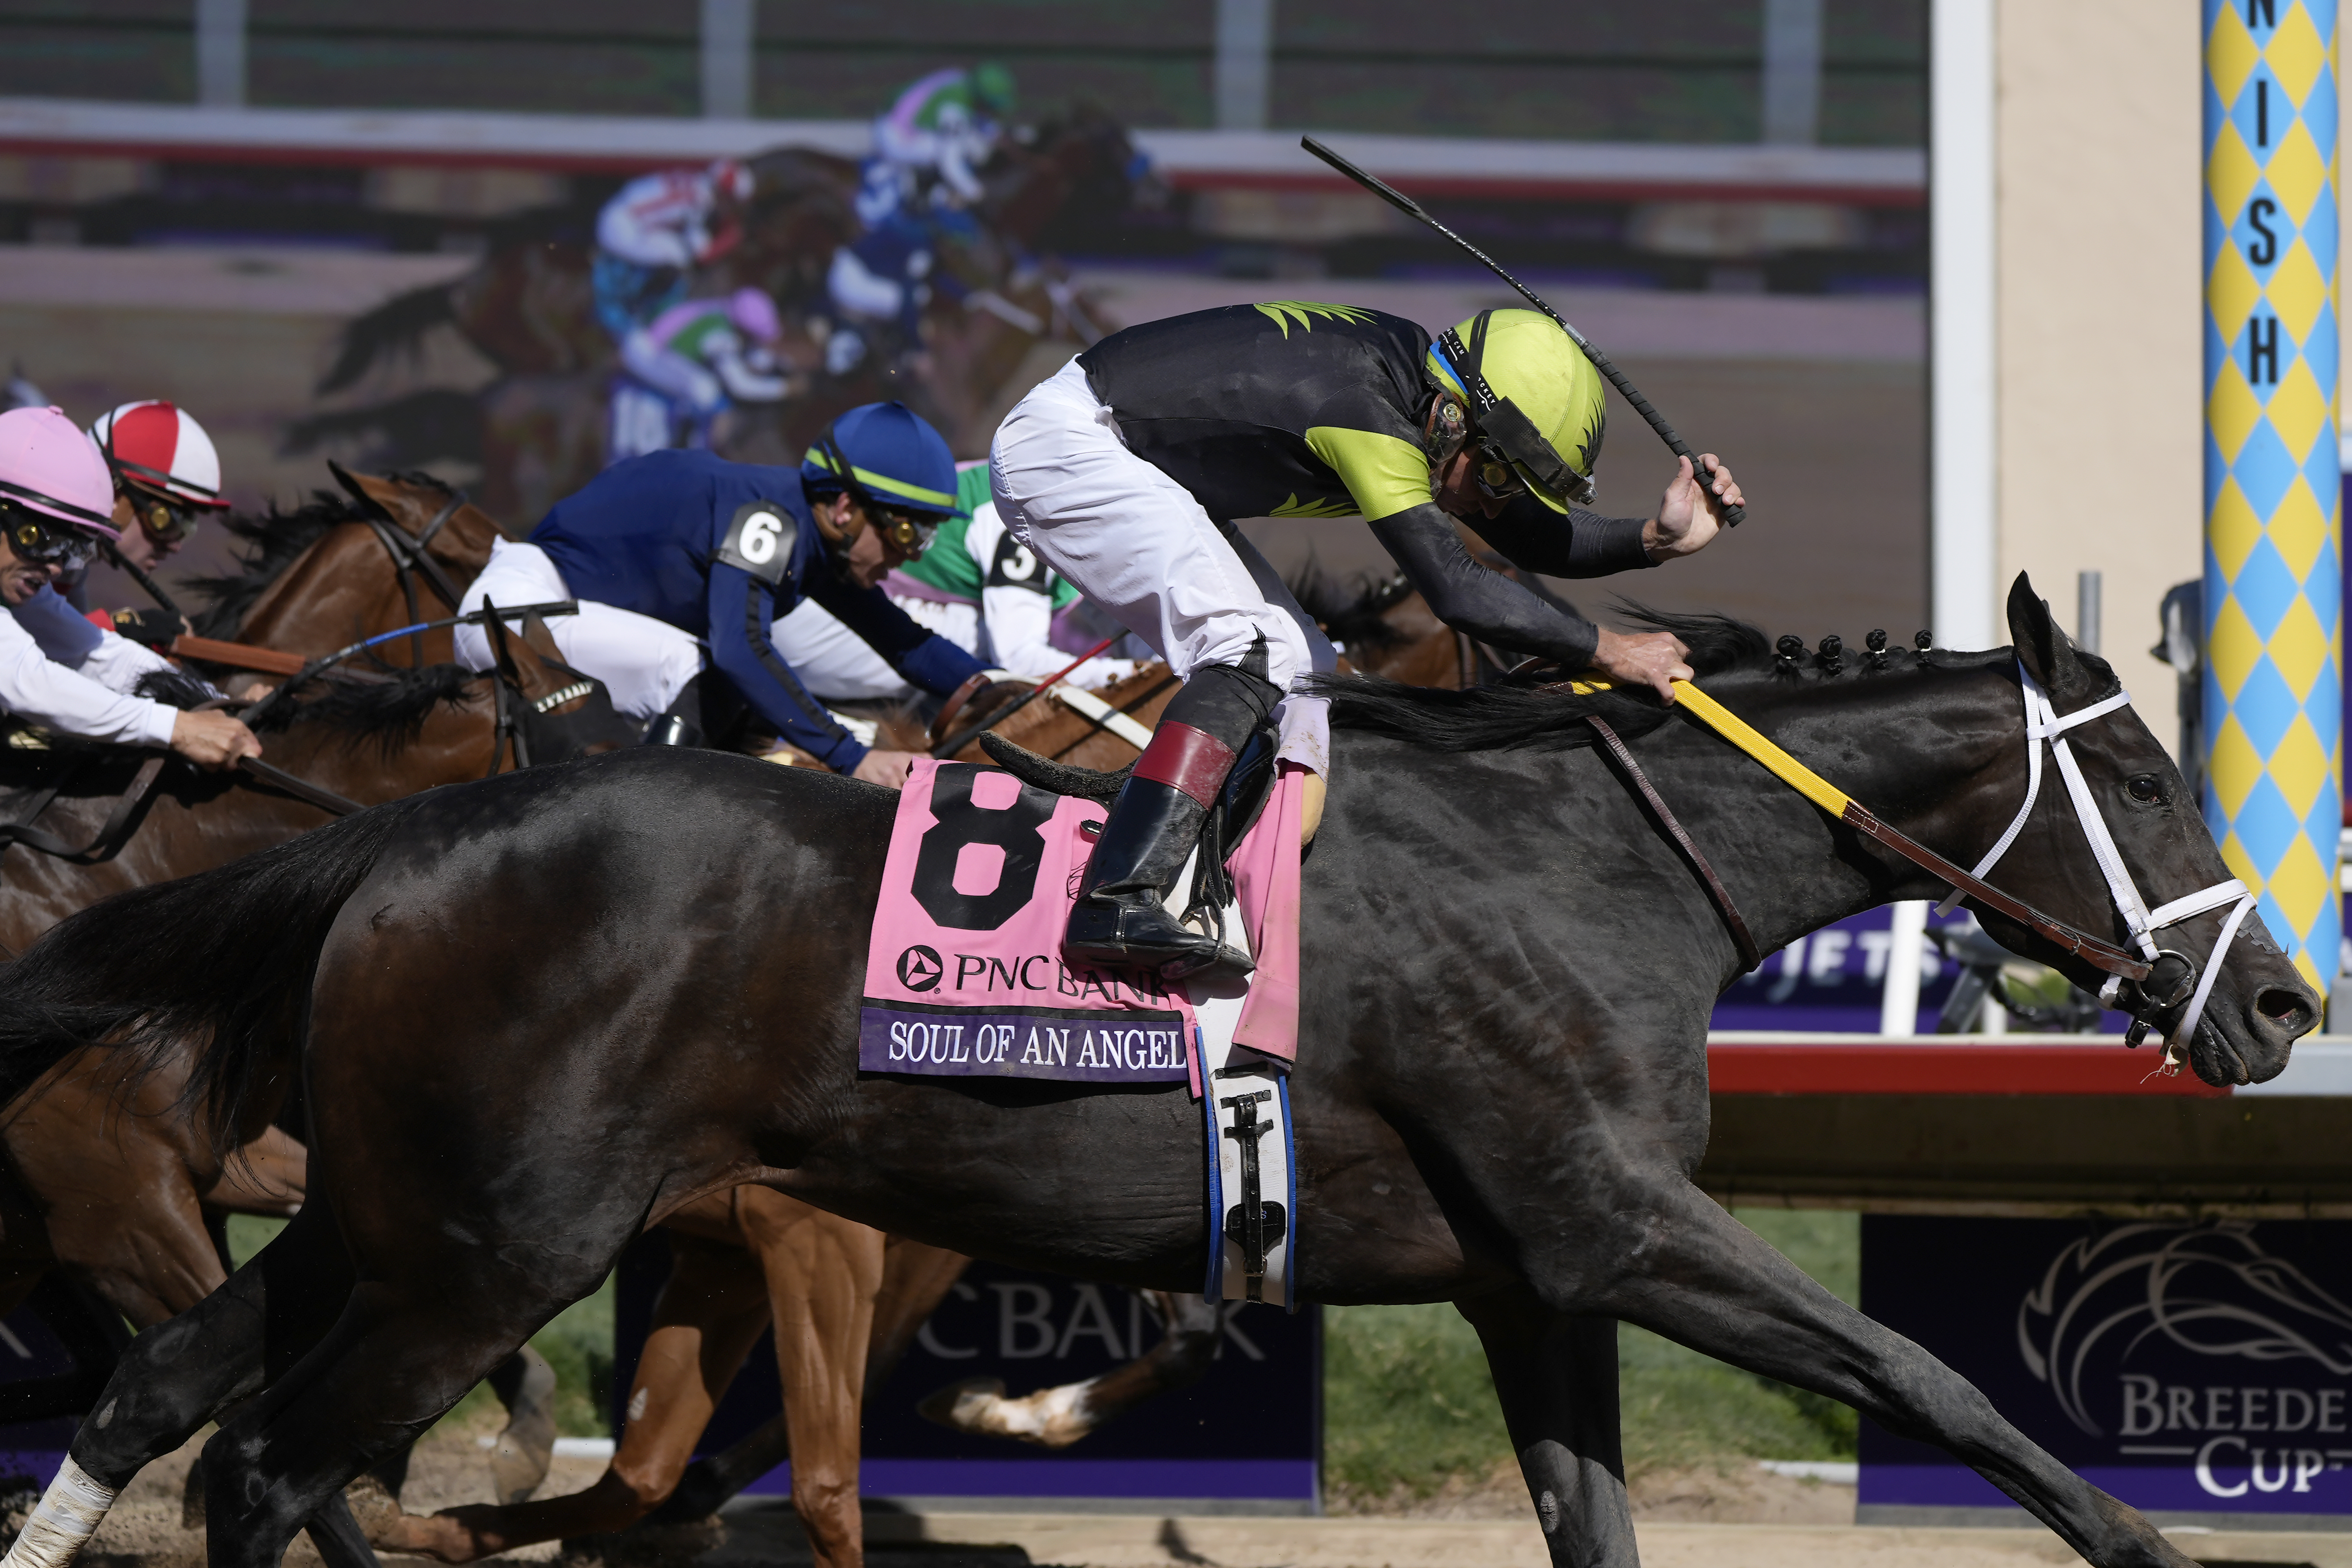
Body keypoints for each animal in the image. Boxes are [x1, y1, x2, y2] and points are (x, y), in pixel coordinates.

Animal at [0, 576, 2312, 1568]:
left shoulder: (1525, 1279)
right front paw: (2152, 1547)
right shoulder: (1611, 1220)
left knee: (171, 1390)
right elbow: (1930, 1378)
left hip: (394, 1217)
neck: (1588, 863)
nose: (2284, 1005)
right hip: (488, 1241)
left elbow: (1601, 1523)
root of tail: (401, 834)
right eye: (2134, 770)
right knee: (266, 1466)